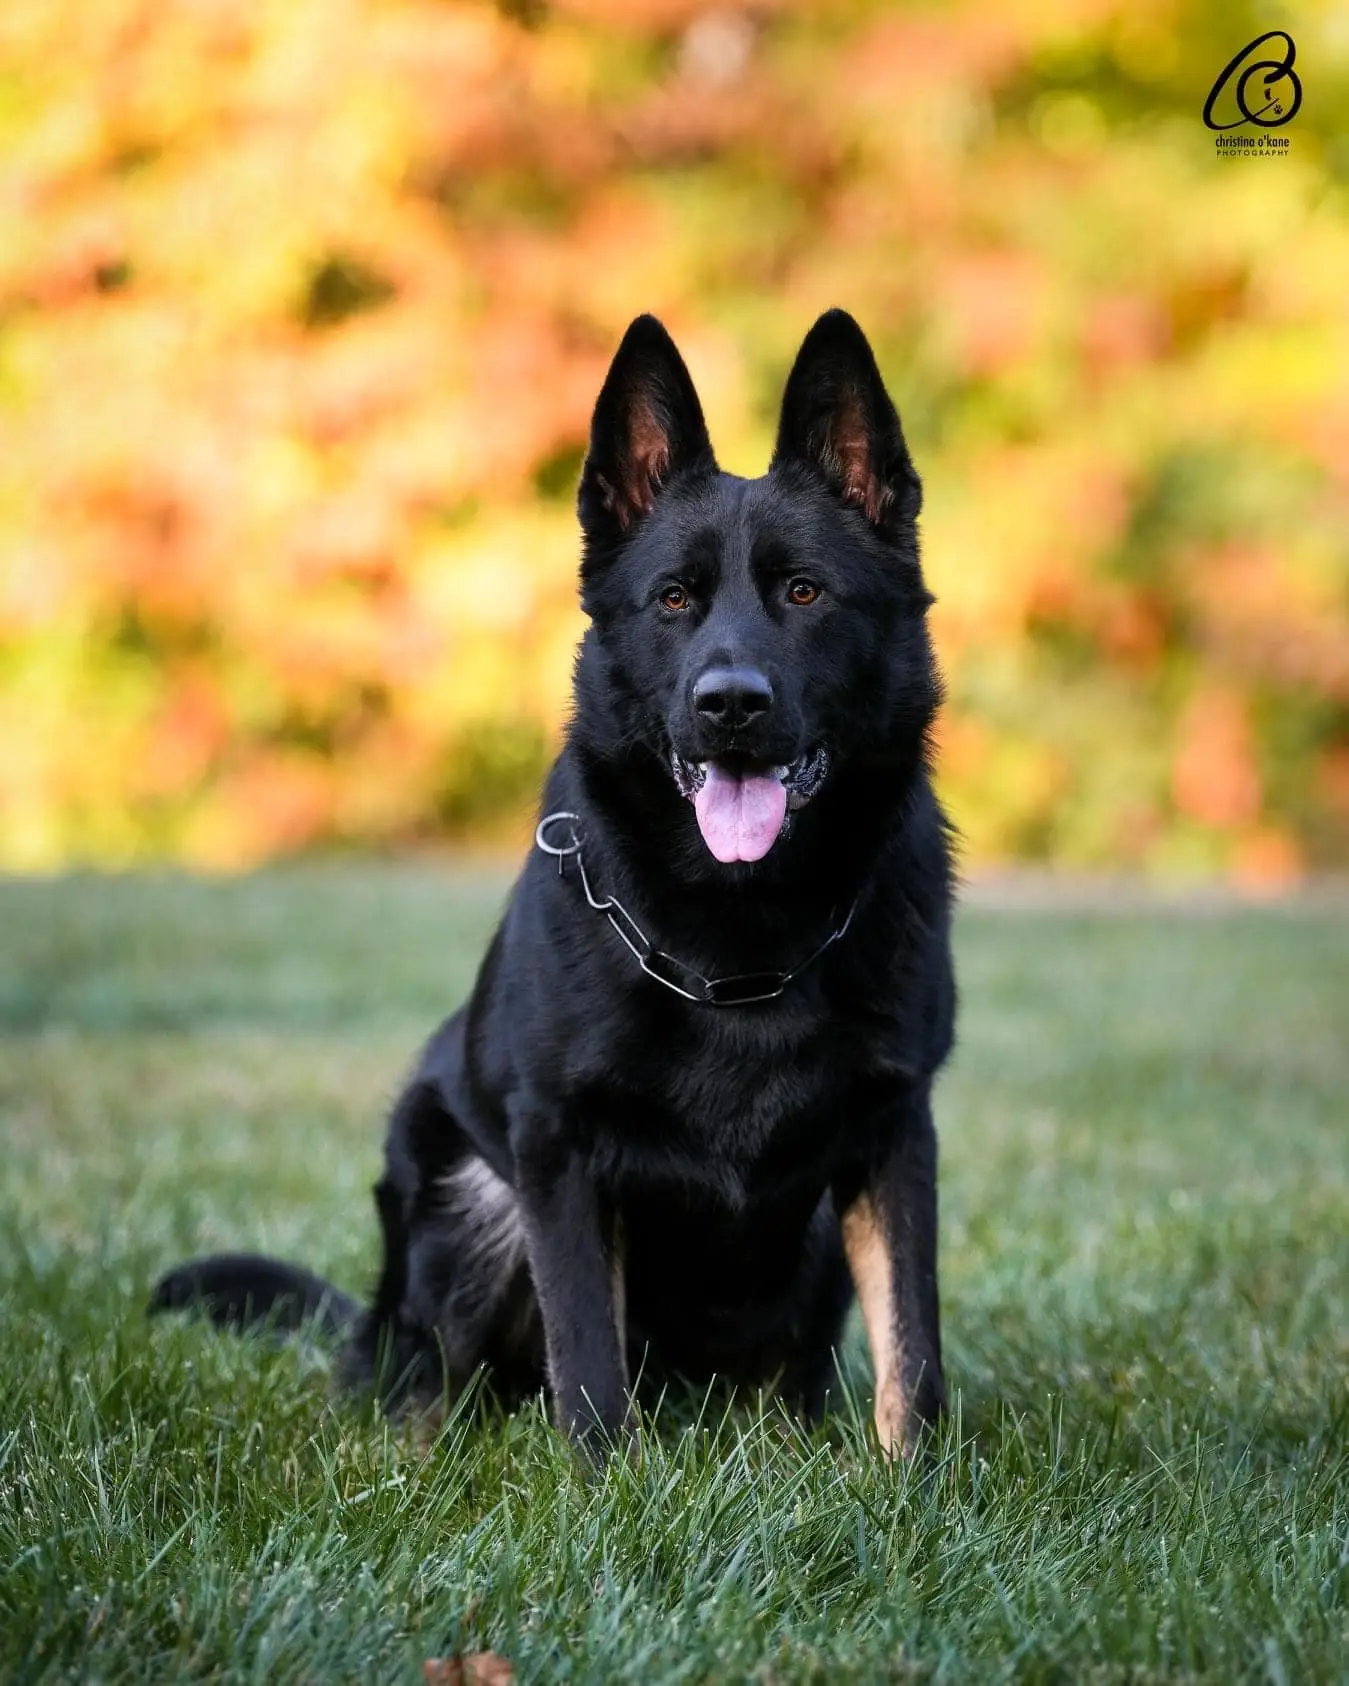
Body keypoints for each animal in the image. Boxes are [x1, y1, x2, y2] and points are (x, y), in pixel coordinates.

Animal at [152, 310, 957, 1456]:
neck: (740, 932)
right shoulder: (557, 1152)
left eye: (804, 592)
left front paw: (912, 1486)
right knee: (425, 1382)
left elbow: (910, 1354)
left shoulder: (892, 1135)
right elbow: (585, 1364)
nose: (729, 704)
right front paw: (607, 1488)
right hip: (464, 1197)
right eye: (673, 600)